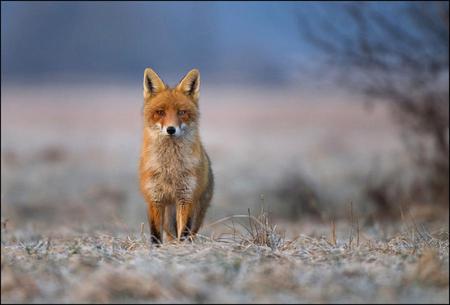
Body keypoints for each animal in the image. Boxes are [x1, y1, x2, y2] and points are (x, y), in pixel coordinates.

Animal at [138, 67, 214, 243]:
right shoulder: (155, 199)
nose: (171, 129)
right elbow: (155, 235)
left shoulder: (186, 198)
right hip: (167, 216)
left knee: (190, 232)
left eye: (181, 112)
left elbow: (184, 232)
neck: (170, 169)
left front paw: (182, 248)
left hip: (197, 211)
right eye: (160, 112)